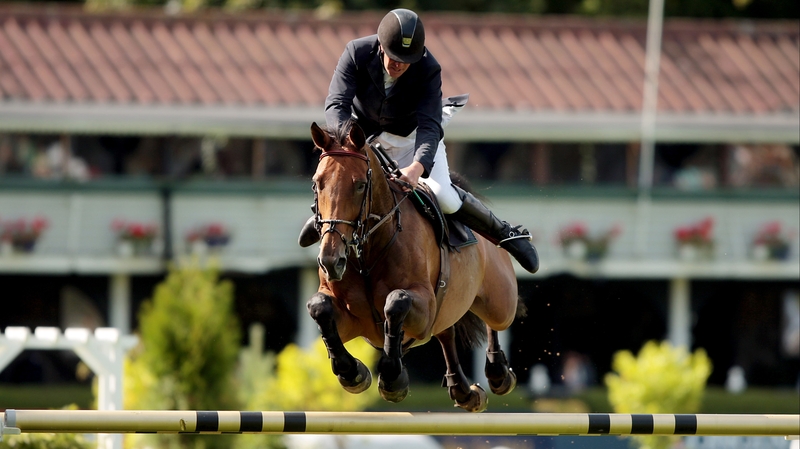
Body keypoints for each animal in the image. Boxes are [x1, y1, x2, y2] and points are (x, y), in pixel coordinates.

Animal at [305, 120, 523, 412]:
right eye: (317, 184)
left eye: (360, 185)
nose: (331, 260)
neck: (367, 255)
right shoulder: (353, 321)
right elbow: (319, 307)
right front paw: (353, 373)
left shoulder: (423, 309)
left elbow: (396, 302)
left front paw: (393, 379)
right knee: (447, 333)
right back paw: (464, 390)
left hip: (499, 302)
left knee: (495, 321)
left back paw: (498, 372)